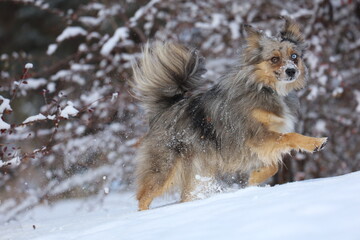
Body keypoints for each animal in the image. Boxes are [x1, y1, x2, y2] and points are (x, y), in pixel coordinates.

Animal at [131, 16, 328, 211]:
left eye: (294, 57)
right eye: (274, 59)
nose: (292, 70)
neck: (265, 88)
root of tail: (166, 108)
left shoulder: (261, 142)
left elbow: (273, 164)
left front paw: (254, 177)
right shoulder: (256, 136)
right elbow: (290, 137)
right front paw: (315, 142)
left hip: (198, 172)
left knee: (185, 195)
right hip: (164, 167)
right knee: (144, 197)